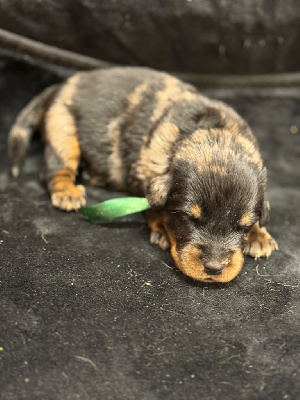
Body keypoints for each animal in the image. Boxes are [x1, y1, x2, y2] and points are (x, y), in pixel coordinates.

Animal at [7, 67, 278, 282]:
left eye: (243, 225)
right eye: (188, 218)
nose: (214, 268)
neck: (214, 134)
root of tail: (60, 86)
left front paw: (259, 235)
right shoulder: (143, 173)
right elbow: (153, 207)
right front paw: (162, 230)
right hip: (62, 128)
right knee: (54, 169)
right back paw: (67, 191)